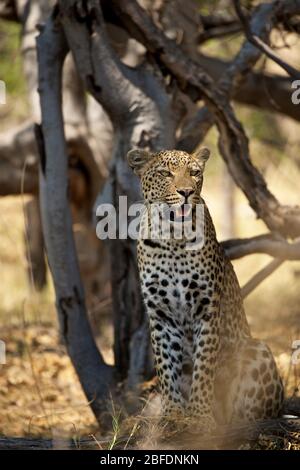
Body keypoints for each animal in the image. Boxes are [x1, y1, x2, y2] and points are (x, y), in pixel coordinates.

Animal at [126, 147, 284, 434]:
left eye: (195, 172)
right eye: (165, 173)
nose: (186, 192)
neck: (172, 239)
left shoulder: (207, 309)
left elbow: (203, 365)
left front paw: (199, 415)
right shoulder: (161, 315)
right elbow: (166, 366)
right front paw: (173, 413)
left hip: (257, 350)